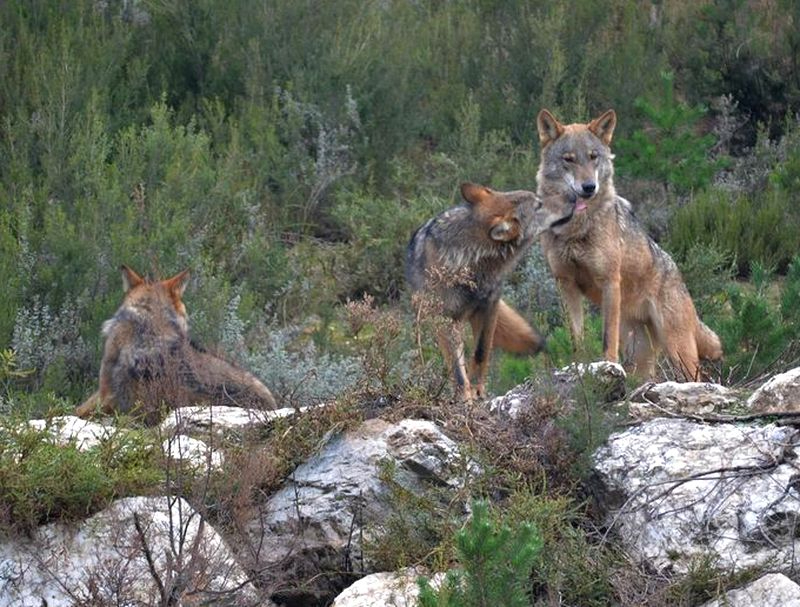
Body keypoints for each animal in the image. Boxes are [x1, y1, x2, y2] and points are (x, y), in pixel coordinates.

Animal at [406, 182, 576, 400]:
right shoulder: (444, 319)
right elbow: (456, 368)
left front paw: (477, 389)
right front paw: (465, 397)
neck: (469, 262)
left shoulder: (489, 307)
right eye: (538, 205)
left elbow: (481, 352)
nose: (574, 196)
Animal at [536, 108, 722, 380]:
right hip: (641, 354)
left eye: (593, 157)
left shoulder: (609, 281)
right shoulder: (566, 285)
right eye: (569, 159)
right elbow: (576, 338)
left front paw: (608, 366)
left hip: (678, 351)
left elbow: (607, 338)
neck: (576, 228)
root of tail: (678, 274)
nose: (589, 187)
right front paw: (578, 368)